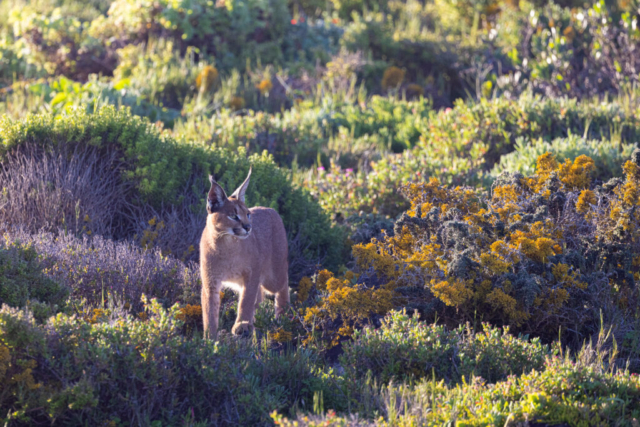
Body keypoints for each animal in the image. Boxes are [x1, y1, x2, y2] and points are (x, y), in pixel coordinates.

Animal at [200, 169, 290, 340]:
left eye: (248, 214)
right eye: (233, 216)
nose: (248, 227)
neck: (226, 244)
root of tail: (270, 209)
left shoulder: (252, 272)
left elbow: (246, 300)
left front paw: (241, 325)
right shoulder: (210, 280)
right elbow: (209, 309)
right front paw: (209, 338)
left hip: (273, 277)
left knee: (283, 284)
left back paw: (283, 315)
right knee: (260, 295)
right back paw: (259, 319)